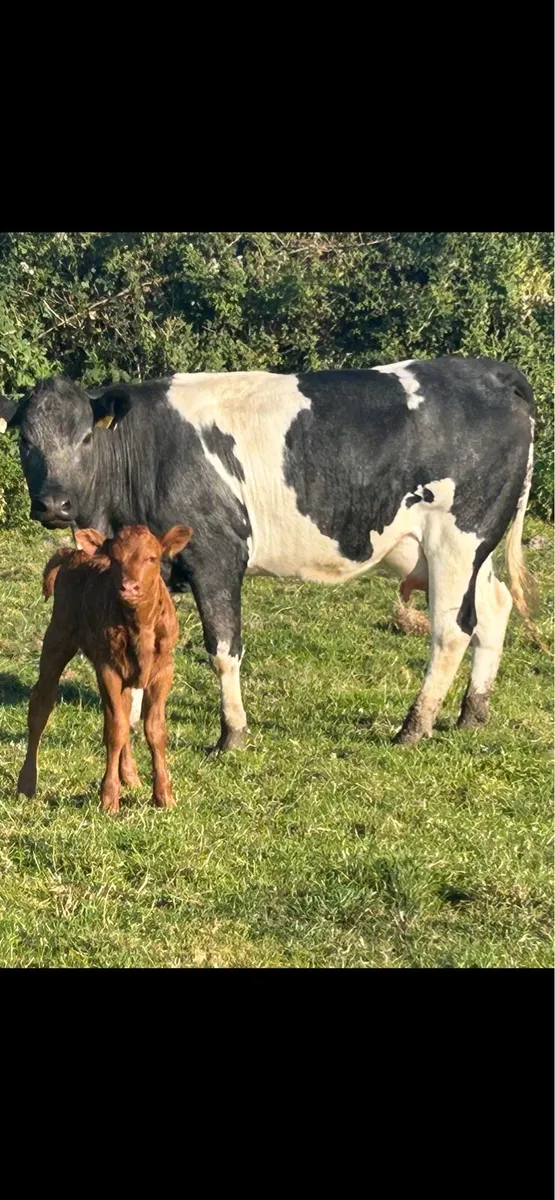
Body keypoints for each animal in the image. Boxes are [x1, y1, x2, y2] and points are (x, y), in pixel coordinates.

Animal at [0, 357, 541, 750]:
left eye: (85, 438)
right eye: (24, 441)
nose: (54, 503)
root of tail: (492, 372)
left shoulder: (216, 555)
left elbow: (223, 649)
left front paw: (232, 735)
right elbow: (139, 644)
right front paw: (127, 724)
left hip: (457, 538)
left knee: (452, 630)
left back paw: (414, 726)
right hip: (440, 549)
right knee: (495, 606)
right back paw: (471, 714)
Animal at [16, 523, 192, 812]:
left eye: (152, 558)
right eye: (115, 560)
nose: (129, 587)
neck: (140, 628)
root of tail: (75, 554)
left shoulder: (164, 670)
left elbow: (154, 729)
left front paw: (164, 796)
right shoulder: (108, 669)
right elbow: (115, 729)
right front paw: (109, 798)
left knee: (124, 710)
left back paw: (130, 776)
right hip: (57, 639)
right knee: (41, 705)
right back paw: (26, 784)